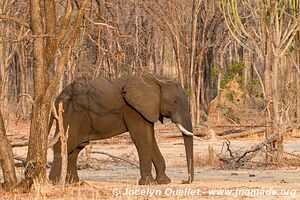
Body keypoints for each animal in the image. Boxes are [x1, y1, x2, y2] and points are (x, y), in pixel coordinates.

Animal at [48, 72, 195, 185]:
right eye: (175, 101)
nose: (184, 181)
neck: (157, 80)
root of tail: (57, 98)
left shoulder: (147, 110)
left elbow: (150, 138)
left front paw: (164, 182)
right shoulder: (132, 109)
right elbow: (141, 138)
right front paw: (149, 183)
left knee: (76, 148)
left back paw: (74, 183)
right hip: (70, 115)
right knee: (65, 144)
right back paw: (55, 181)